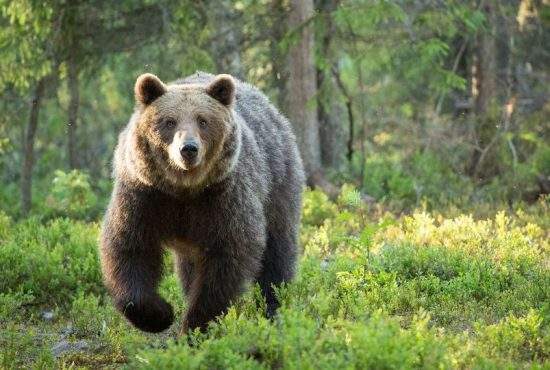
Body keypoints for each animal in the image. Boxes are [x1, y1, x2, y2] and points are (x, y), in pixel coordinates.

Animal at [99, 71, 306, 332]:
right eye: (169, 121)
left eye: (203, 120)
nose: (188, 149)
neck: (184, 189)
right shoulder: (144, 195)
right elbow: (129, 247)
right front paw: (160, 314)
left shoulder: (223, 198)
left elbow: (227, 258)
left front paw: (196, 324)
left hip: (277, 185)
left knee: (277, 252)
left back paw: (273, 306)